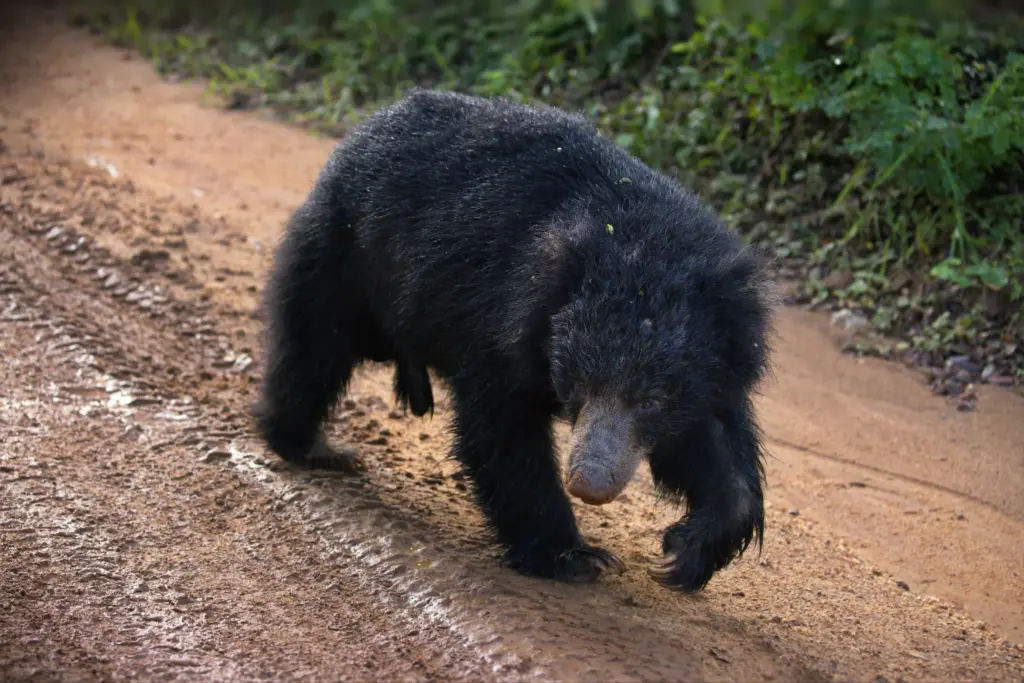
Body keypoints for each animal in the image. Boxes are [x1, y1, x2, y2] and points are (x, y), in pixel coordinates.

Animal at [253, 88, 775, 592]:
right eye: (579, 386)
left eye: (652, 400)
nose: (590, 483)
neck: (640, 238)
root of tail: (363, 129)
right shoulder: (502, 322)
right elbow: (503, 431)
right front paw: (573, 556)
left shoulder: (716, 362)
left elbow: (712, 446)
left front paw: (684, 555)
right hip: (346, 256)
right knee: (314, 347)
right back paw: (314, 446)